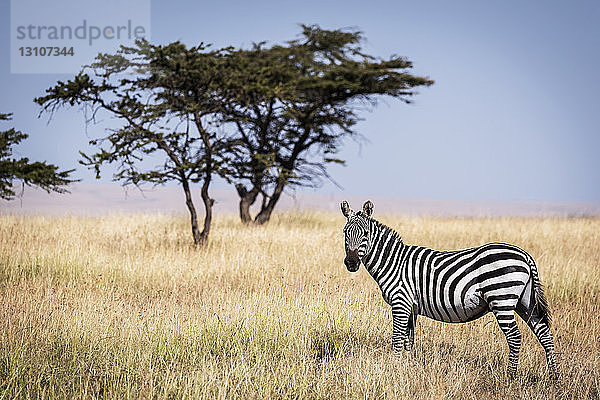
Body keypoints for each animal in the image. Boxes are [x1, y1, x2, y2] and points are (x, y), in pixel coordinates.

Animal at [340, 200, 560, 378]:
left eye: (365, 234)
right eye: (344, 233)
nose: (351, 263)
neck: (394, 262)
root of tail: (525, 255)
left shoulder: (400, 302)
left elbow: (397, 338)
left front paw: (394, 368)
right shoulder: (410, 307)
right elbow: (408, 339)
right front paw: (406, 366)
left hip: (502, 298)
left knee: (514, 336)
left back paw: (510, 376)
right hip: (525, 301)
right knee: (544, 333)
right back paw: (554, 376)